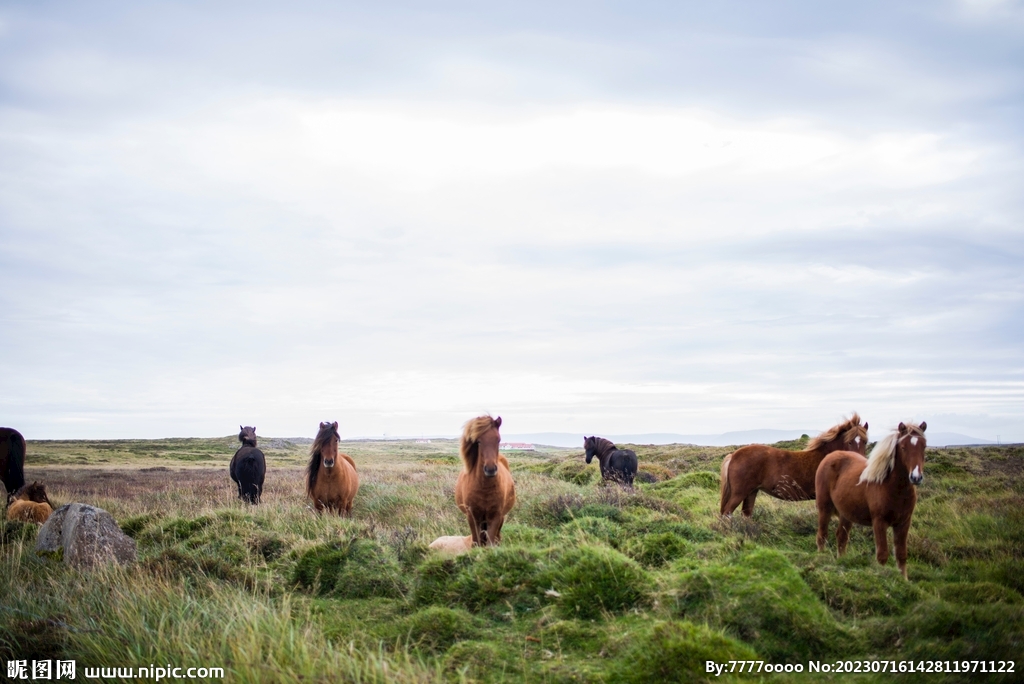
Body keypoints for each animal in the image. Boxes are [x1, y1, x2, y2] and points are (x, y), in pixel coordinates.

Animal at [456, 413, 516, 548]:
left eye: (498, 440)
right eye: (478, 441)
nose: (490, 469)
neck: (484, 488)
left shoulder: (495, 517)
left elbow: (490, 543)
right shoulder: (472, 517)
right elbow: (476, 542)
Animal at [716, 413, 868, 516]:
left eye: (865, 441)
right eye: (849, 442)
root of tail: (733, 455)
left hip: (751, 492)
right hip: (739, 493)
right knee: (726, 513)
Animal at [815, 419, 929, 581]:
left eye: (923, 446)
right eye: (903, 447)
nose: (916, 477)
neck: (894, 488)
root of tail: (830, 456)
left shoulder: (903, 523)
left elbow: (901, 554)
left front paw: (904, 581)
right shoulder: (879, 522)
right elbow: (882, 555)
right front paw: (882, 578)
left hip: (846, 514)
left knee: (841, 537)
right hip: (825, 508)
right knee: (822, 535)